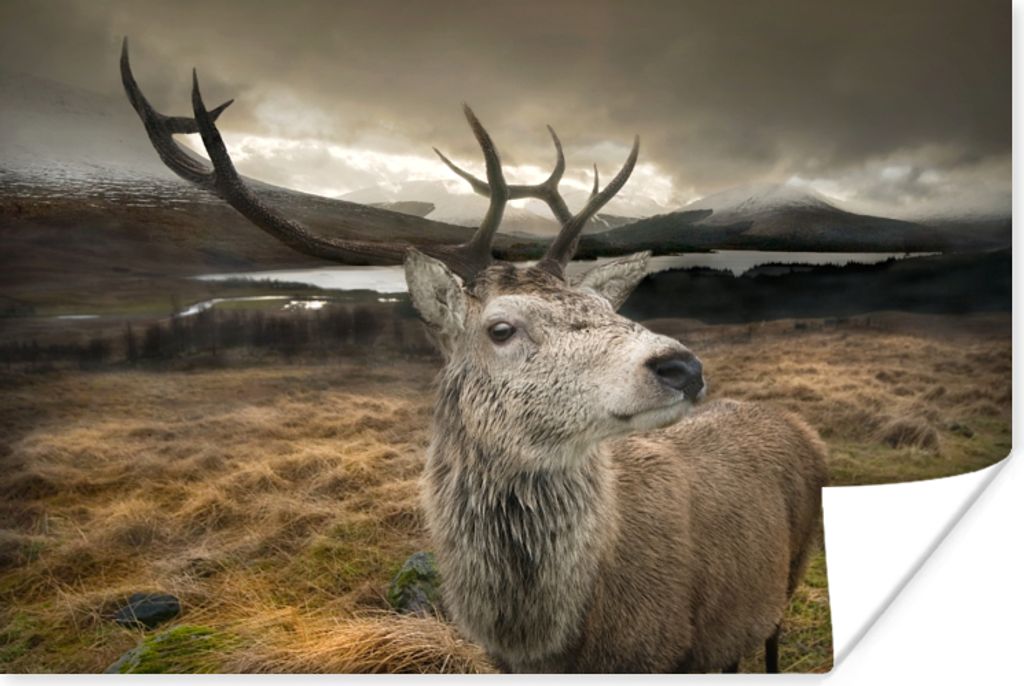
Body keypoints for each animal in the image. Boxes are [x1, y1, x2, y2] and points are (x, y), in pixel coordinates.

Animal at [121, 39, 828, 673]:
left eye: (604, 308)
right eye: (501, 329)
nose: (682, 366)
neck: (550, 640)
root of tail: (807, 430)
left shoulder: (668, 652)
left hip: (790, 574)